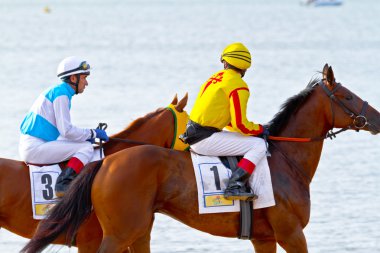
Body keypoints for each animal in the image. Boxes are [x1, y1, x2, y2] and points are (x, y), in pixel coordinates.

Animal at [23, 65, 380, 253]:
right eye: (347, 96)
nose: (376, 119)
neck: (286, 162)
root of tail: (106, 162)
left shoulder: (265, 237)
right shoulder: (291, 233)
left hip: (137, 230)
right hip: (119, 233)